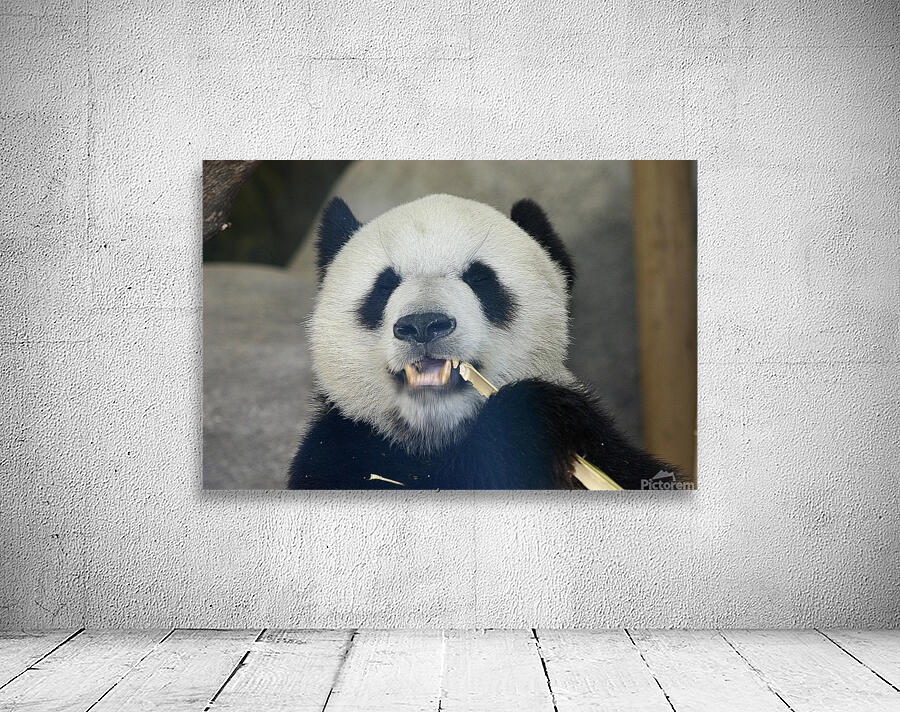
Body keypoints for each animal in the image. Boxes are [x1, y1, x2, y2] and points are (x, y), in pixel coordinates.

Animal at [288, 194, 677, 489]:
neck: (438, 439)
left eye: (479, 278)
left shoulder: (608, 451)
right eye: (384, 285)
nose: (423, 325)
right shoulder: (340, 450)